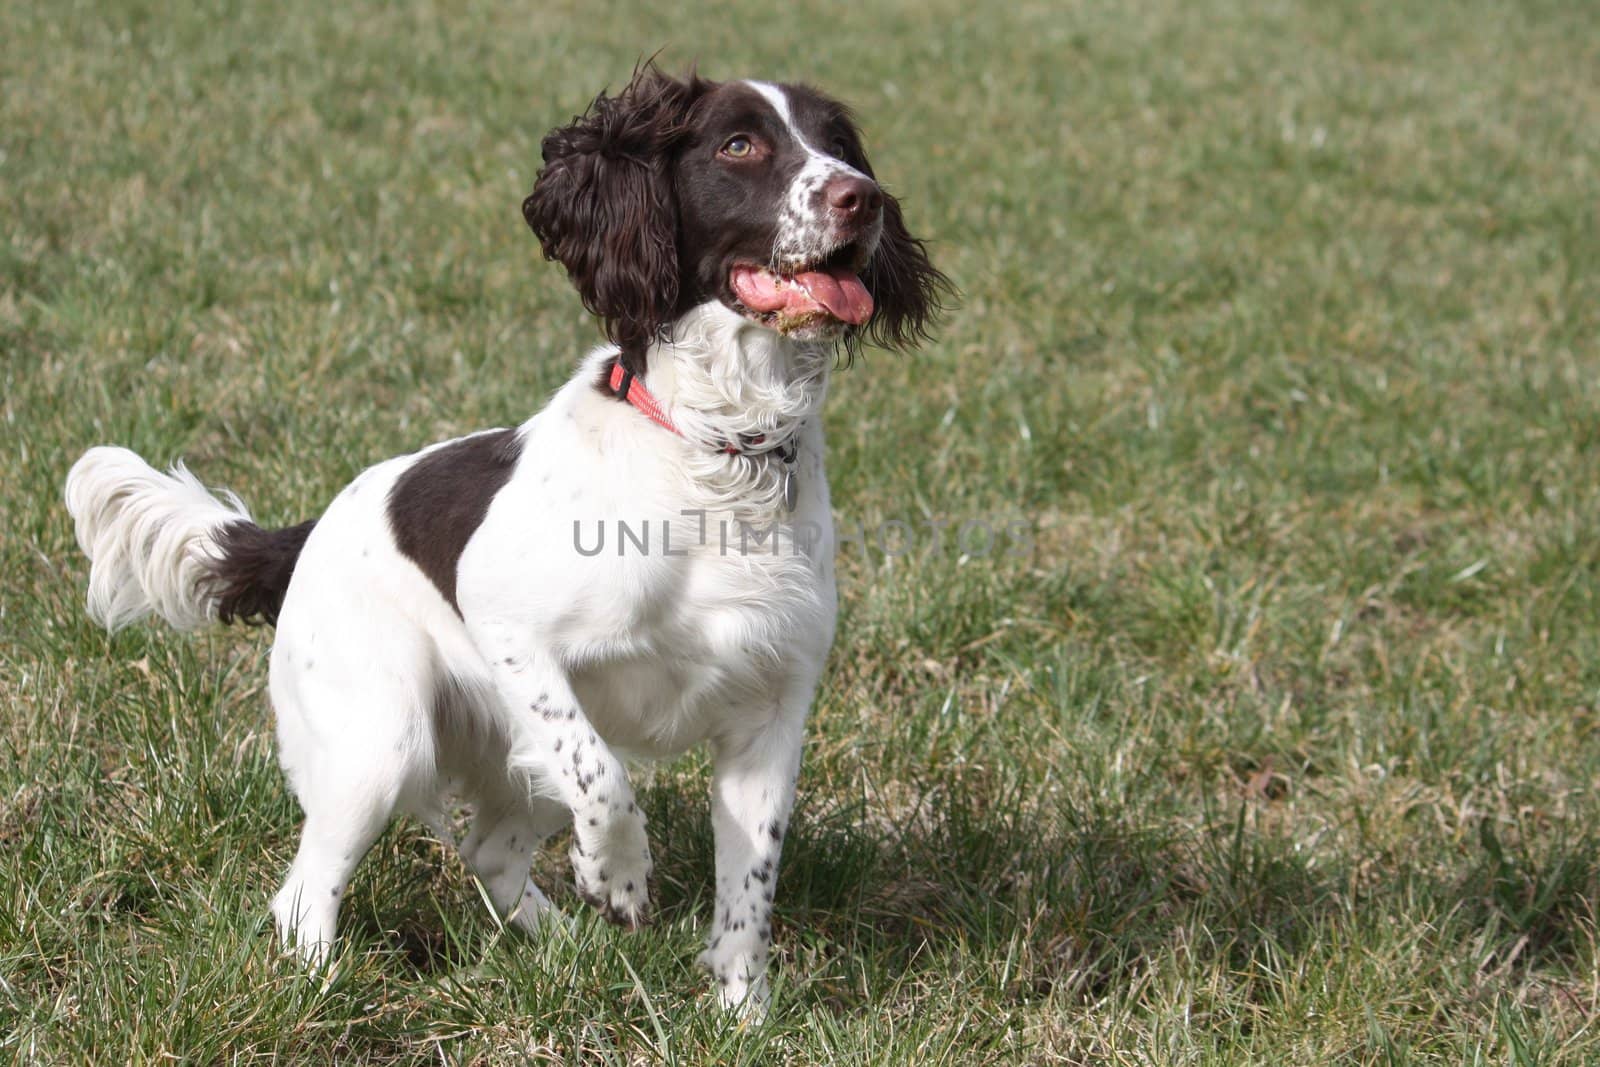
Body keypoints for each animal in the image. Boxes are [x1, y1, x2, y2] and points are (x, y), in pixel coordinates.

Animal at [65, 62, 947, 1017]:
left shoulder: (773, 714)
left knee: (488, 850)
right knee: (304, 891)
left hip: (502, 754)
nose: (863, 199)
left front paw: (741, 1014)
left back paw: (570, 950)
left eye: (840, 143)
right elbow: (605, 776)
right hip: (382, 741)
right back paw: (323, 988)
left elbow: (750, 885)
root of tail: (305, 532)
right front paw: (620, 877)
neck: (719, 452)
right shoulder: (509, 624)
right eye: (739, 144)